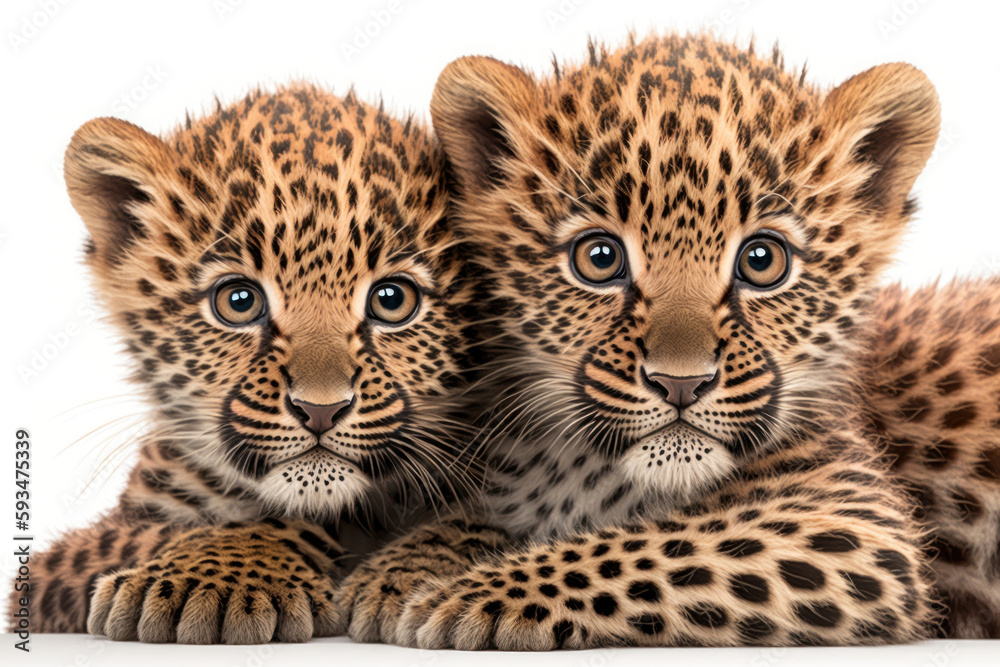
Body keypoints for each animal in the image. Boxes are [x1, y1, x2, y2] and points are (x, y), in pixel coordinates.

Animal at [335, 32, 998, 649]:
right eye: (599, 258)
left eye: (763, 260)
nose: (682, 383)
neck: (580, 471)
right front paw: (403, 566)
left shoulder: (854, 524)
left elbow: (649, 549)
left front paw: (461, 596)